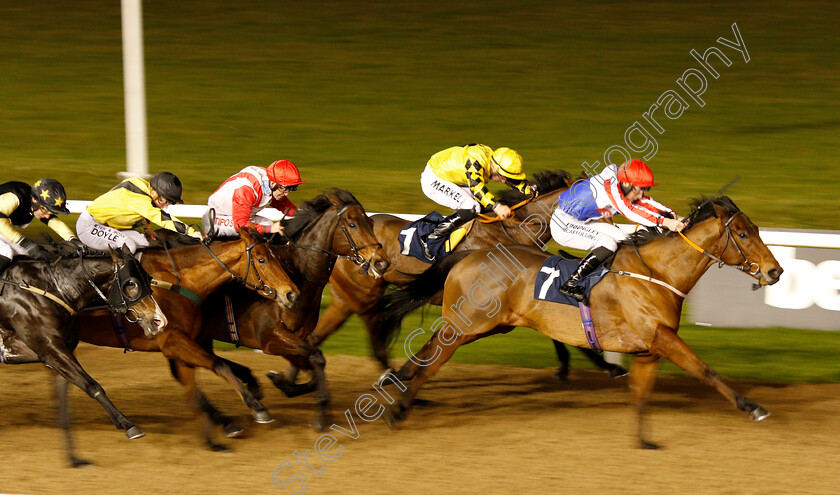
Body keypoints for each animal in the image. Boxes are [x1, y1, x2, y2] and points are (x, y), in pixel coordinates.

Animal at [0, 250, 167, 466]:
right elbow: (93, 386)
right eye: (131, 283)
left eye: (148, 278)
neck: (51, 289)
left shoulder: (58, 354)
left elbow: (64, 404)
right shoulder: (51, 349)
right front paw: (128, 424)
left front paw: (74, 458)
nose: (159, 321)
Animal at [76, 231, 298, 452]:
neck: (177, 283)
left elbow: (195, 389)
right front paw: (256, 408)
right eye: (262, 260)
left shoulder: (183, 343)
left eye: (277, 257)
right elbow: (219, 367)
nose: (292, 293)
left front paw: (215, 436)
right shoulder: (173, 341)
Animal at [200, 189, 390, 430]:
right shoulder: (271, 338)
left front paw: (283, 383)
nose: (382, 263)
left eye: (370, 222)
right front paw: (320, 414)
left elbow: (310, 365)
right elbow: (317, 358)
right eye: (352, 224)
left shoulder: (298, 337)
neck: (297, 274)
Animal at [378, 197, 784, 450]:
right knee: (432, 362)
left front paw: (643, 440)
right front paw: (753, 407)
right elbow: (705, 370)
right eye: (743, 234)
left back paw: (396, 380)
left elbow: (641, 393)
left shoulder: (649, 348)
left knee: (429, 348)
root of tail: (470, 254)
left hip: (487, 325)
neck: (657, 273)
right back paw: (399, 407)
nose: (775, 271)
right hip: (469, 324)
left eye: (757, 229)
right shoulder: (662, 337)